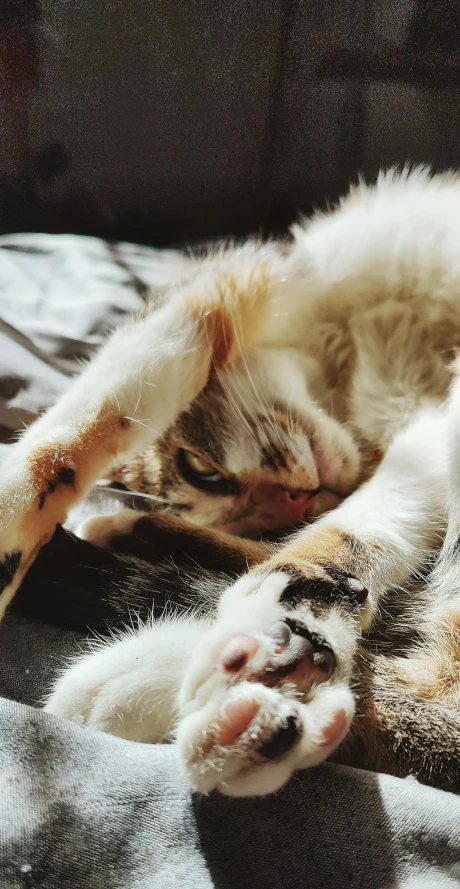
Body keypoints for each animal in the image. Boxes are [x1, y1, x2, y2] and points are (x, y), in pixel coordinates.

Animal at [0, 166, 460, 796]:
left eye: (202, 468)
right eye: (249, 512)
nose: (296, 501)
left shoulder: (266, 276)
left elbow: (112, 396)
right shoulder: (423, 432)